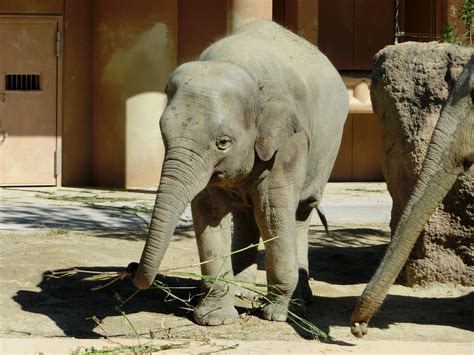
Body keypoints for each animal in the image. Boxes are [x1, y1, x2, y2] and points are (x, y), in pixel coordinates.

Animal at [130, 18, 348, 326]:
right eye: (163, 134)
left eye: (223, 143)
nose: (132, 268)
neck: (238, 63)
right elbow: (209, 211)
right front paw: (214, 319)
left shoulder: (289, 141)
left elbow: (273, 211)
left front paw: (274, 314)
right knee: (248, 214)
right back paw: (244, 292)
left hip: (327, 151)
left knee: (299, 212)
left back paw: (298, 302)